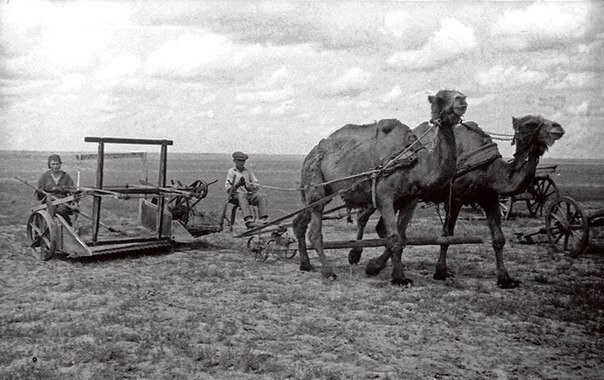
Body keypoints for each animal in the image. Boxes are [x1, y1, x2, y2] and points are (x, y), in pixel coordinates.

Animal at [292, 89, 468, 284]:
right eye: (440, 98)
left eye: (459, 93)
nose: (462, 100)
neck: (417, 164)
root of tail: (309, 156)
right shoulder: (385, 195)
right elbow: (395, 238)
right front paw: (396, 276)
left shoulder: (411, 199)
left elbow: (402, 237)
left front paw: (378, 267)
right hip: (315, 177)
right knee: (315, 229)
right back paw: (328, 271)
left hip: (322, 189)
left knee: (300, 221)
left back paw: (305, 264)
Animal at [350, 115, 568, 288]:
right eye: (531, 123)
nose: (558, 127)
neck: (490, 169)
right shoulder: (456, 196)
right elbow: (447, 235)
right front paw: (440, 271)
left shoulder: (490, 196)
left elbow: (498, 238)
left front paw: (505, 278)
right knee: (364, 216)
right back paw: (357, 256)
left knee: (384, 227)